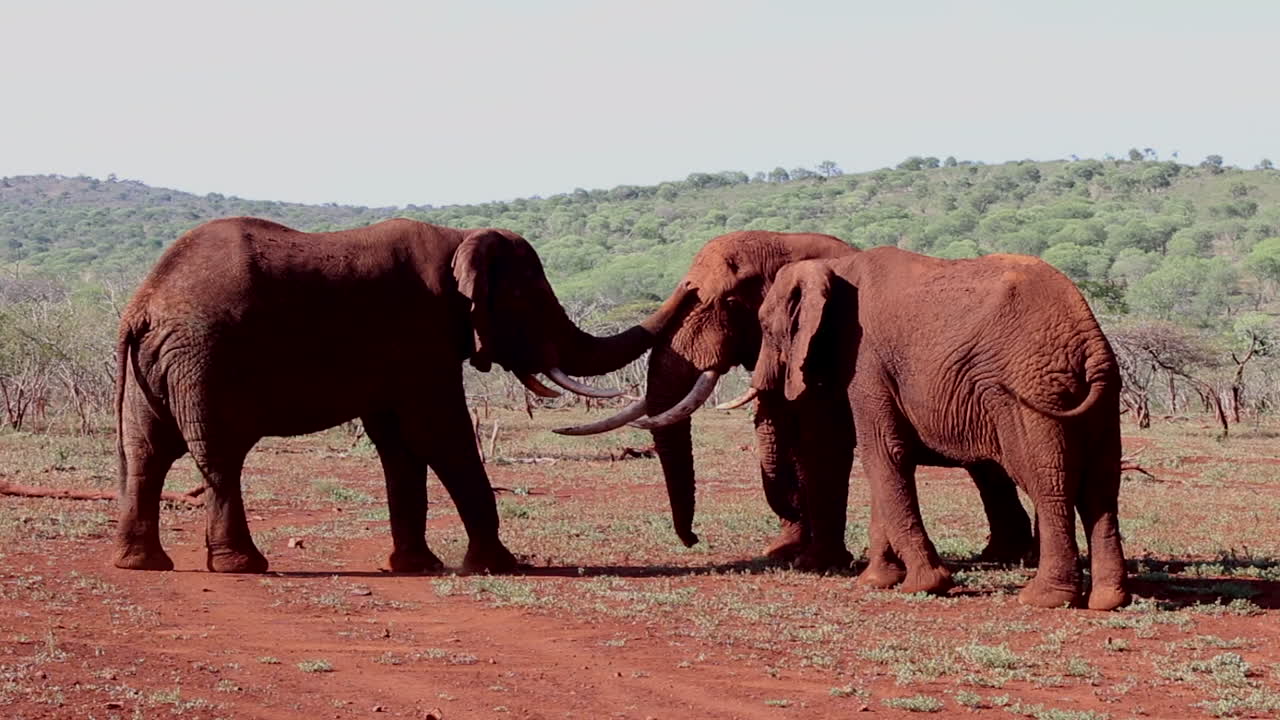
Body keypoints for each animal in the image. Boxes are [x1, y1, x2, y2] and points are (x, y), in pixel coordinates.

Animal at [114, 216, 678, 575]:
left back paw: (142, 564)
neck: (459, 238)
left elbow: (400, 445)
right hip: (206, 359)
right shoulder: (419, 333)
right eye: (528, 299)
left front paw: (417, 567)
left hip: (166, 364)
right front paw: (498, 566)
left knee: (146, 452)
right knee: (220, 453)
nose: (693, 289)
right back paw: (243, 566)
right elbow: (438, 434)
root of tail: (143, 305)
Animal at [554, 231, 1035, 568]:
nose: (693, 540)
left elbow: (821, 443)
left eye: (730, 302)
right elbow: (776, 433)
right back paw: (1002, 556)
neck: (787, 241)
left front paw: (816, 562)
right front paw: (784, 552)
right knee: (988, 471)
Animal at [749, 247, 1128, 610]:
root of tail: (1089, 343)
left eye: (764, 327)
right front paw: (879, 581)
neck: (835, 265)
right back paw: (1108, 600)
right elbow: (882, 459)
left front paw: (924, 585)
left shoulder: (866, 361)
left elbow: (882, 452)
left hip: (1030, 397)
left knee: (1048, 486)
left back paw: (1042, 599)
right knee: (1101, 490)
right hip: (1104, 400)